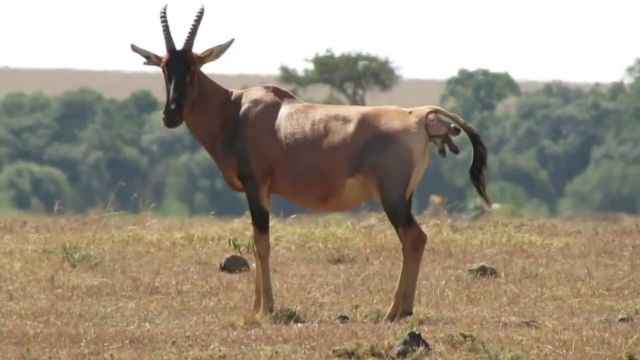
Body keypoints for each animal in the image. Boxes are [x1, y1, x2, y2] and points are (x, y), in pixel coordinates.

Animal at [130, 5, 490, 320]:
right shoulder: (263, 190)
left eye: (193, 66)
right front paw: (257, 307)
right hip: (405, 196)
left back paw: (393, 312)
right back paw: (403, 310)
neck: (237, 109)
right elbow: (256, 243)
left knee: (414, 238)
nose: (170, 115)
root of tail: (419, 115)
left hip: (391, 198)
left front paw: (265, 309)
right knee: (412, 241)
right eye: (164, 67)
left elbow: (262, 243)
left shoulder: (256, 186)